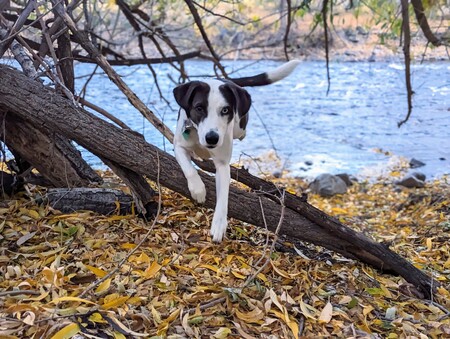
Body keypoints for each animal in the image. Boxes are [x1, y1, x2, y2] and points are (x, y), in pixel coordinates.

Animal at [174, 60, 300, 242]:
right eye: (199, 108)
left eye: (225, 110)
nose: (212, 138)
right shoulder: (179, 145)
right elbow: (189, 168)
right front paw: (198, 189)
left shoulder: (222, 165)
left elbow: (223, 196)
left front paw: (219, 224)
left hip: (240, 125)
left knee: (241, 131)